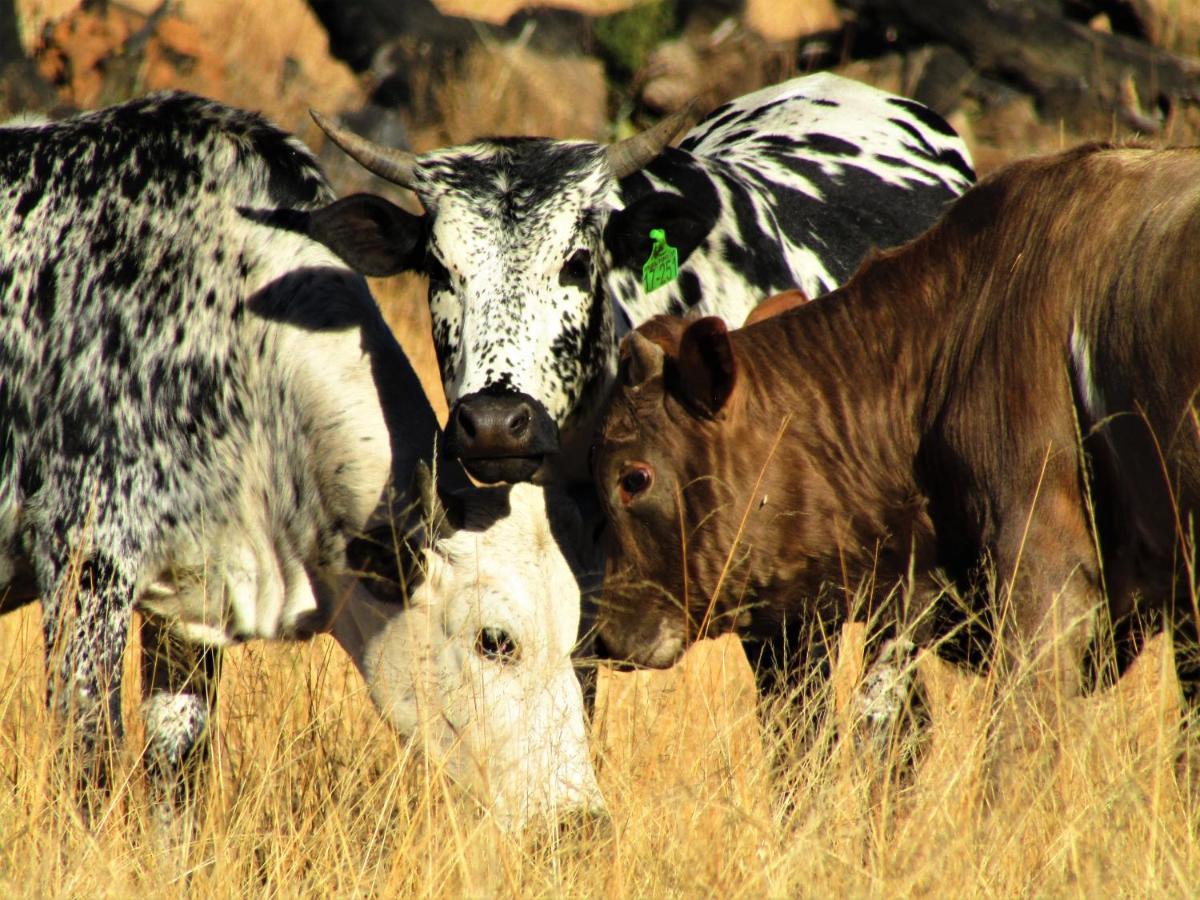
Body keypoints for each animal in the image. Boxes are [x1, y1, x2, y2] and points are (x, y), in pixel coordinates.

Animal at [0, 95, 600, 835]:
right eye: (496, 640)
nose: (580, 821)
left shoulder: (189, 605)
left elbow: (175, 781)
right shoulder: (84, 565)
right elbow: (90, 770)